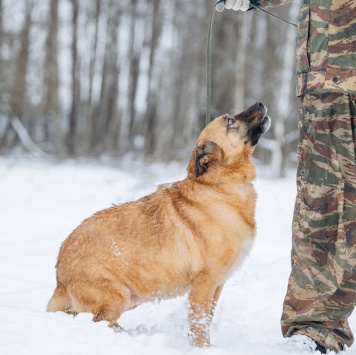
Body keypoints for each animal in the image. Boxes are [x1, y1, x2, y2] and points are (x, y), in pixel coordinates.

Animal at [47, 103, 270, 348]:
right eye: (230, 121)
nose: (260, 104)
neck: (219, 186)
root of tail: (60, 274)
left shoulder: (217, 286)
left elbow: (207, 320)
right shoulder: (204, 284)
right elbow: (200, 324)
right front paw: (203, 349)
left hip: (131, 297)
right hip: (117, 296)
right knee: (99, 322)